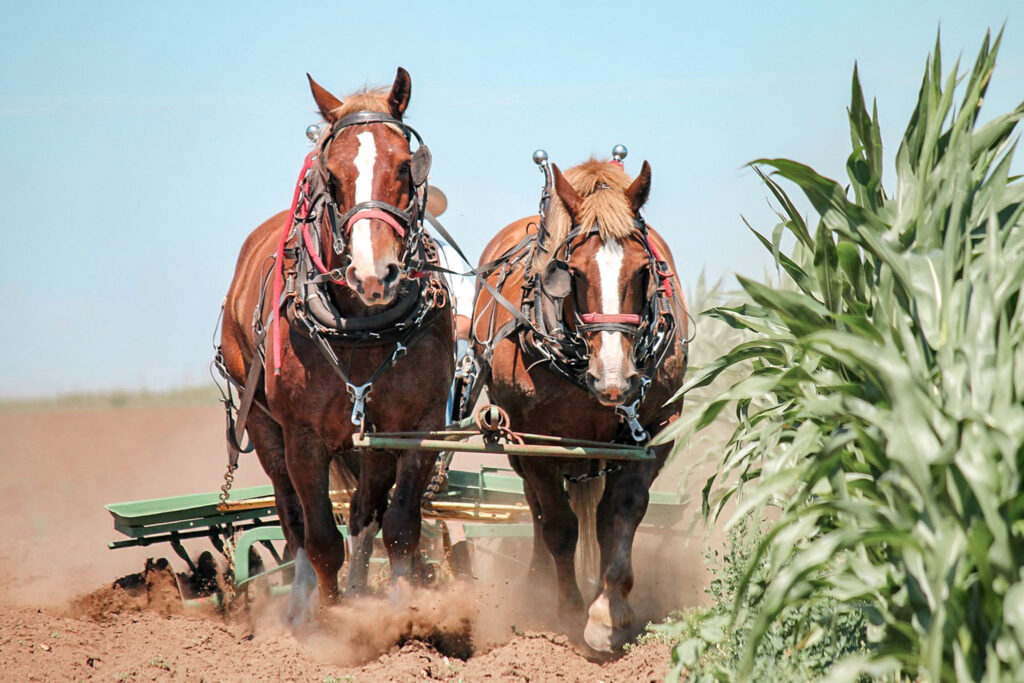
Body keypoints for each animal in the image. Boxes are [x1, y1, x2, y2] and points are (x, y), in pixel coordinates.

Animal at [218, 68, 454, 624]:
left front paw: (397, 613)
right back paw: (302, 604)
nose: (374, 274)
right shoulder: (303, 436)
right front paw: (330, 624)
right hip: (261, 422)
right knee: (293, 518)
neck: (362, 326)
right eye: (331, 174)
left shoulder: (416, 425)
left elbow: (399, 526)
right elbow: (322, 539)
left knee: (366, 514)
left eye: (405, 165)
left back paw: (362, 591)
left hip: (371, 437)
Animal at [469, 157, 688, 652]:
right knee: (537, 510)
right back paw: (537, 582)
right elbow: (559, 525)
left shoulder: (657, 429)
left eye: (643, 270)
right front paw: (567, 611)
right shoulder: (535, 439)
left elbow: (620, 513)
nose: (614, 380)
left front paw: (610, 613)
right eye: (573, 272)